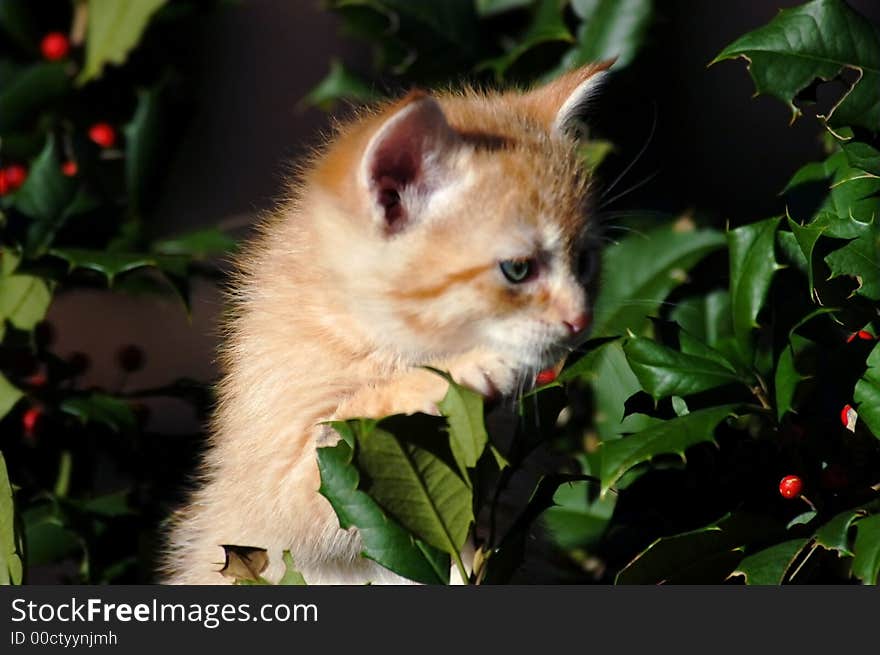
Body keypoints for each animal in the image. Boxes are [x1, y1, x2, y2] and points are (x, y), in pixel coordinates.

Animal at [162, 60, 608, 584]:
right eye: (518, 269)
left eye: (585, 263)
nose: (580, 319)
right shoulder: (272, 490)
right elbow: (343, 427)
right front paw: (463, 370)